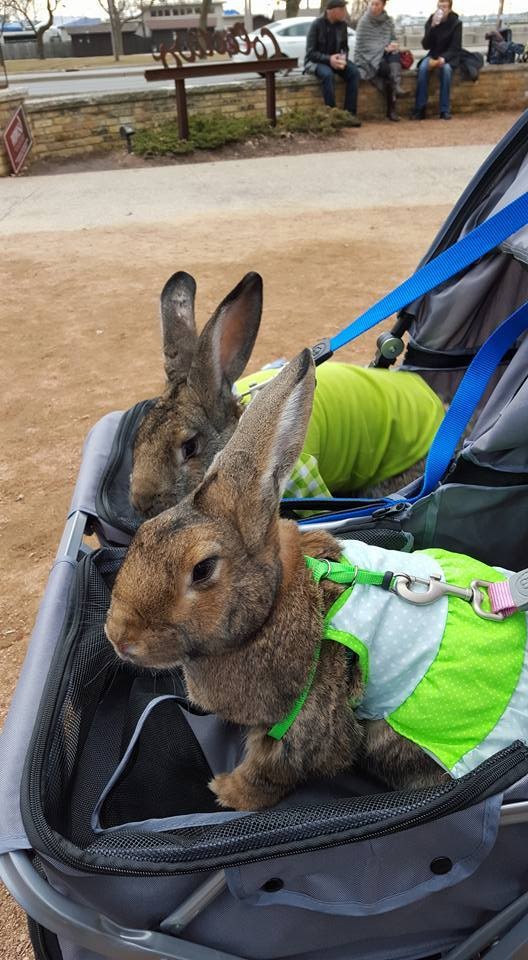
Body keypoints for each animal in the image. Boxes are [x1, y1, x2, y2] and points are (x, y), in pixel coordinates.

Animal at [107, 346, 454, 808]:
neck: (269, 610)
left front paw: (228, 793)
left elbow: (273, 768)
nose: (119, 638)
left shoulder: (303, 722)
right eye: (142, 535)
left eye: (202, 569)